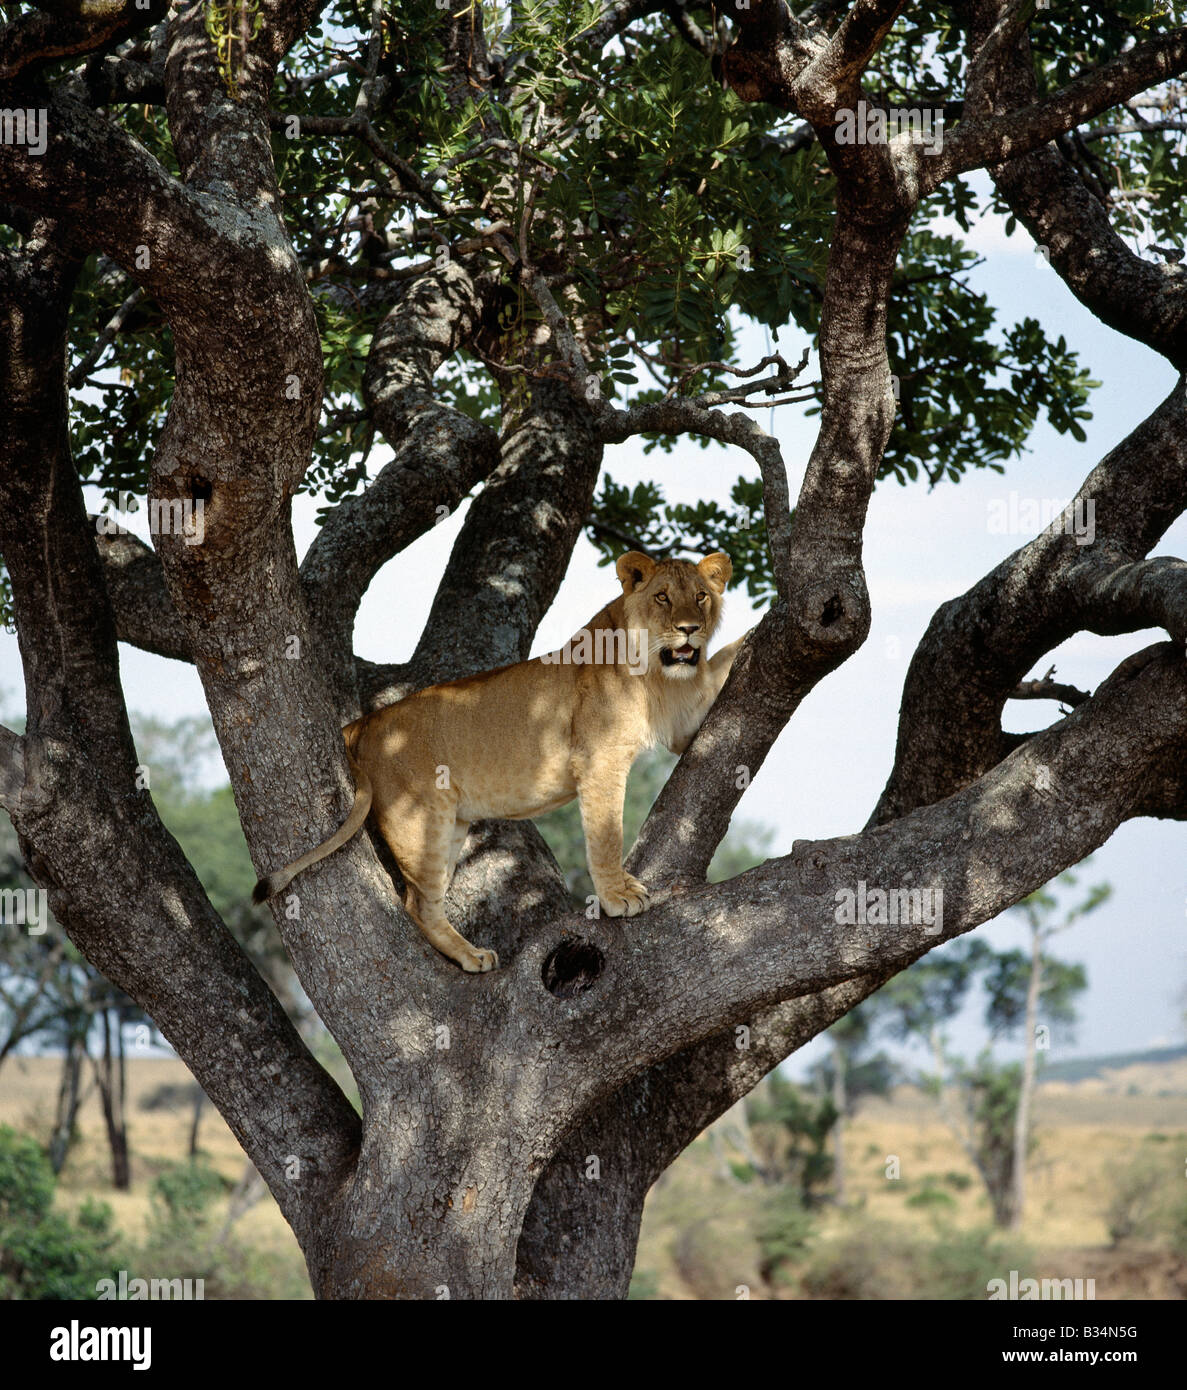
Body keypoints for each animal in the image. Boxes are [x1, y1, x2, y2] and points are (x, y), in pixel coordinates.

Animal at [255, 547, 750, 973]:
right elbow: (606, 834)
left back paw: (470, 954)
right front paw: (617, 896)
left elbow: (721, 666)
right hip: (419, 820)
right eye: (663, 596)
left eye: (701, 596)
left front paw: (756, 632)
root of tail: (366, 722)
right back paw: (469, 954)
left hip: (450, 824)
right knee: (418, 903)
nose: (689, 629)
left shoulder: (684, 726)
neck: (658, 673)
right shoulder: (600, 759)